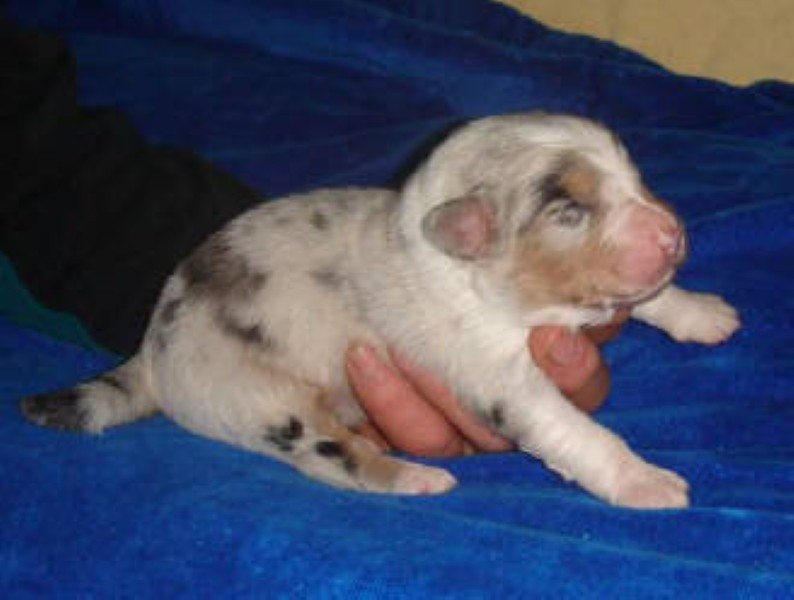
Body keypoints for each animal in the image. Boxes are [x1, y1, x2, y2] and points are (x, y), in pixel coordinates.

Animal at [22, 113, 740, 508]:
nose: (672, 234)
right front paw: (645, 482)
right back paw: (414, 478)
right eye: (569, 211)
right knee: (329, 458)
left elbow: (651, 297)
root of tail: (151, 348)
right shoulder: (497, 378)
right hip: (258, 399)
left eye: (633, 179)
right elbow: (576, 431)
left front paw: (700, 312)